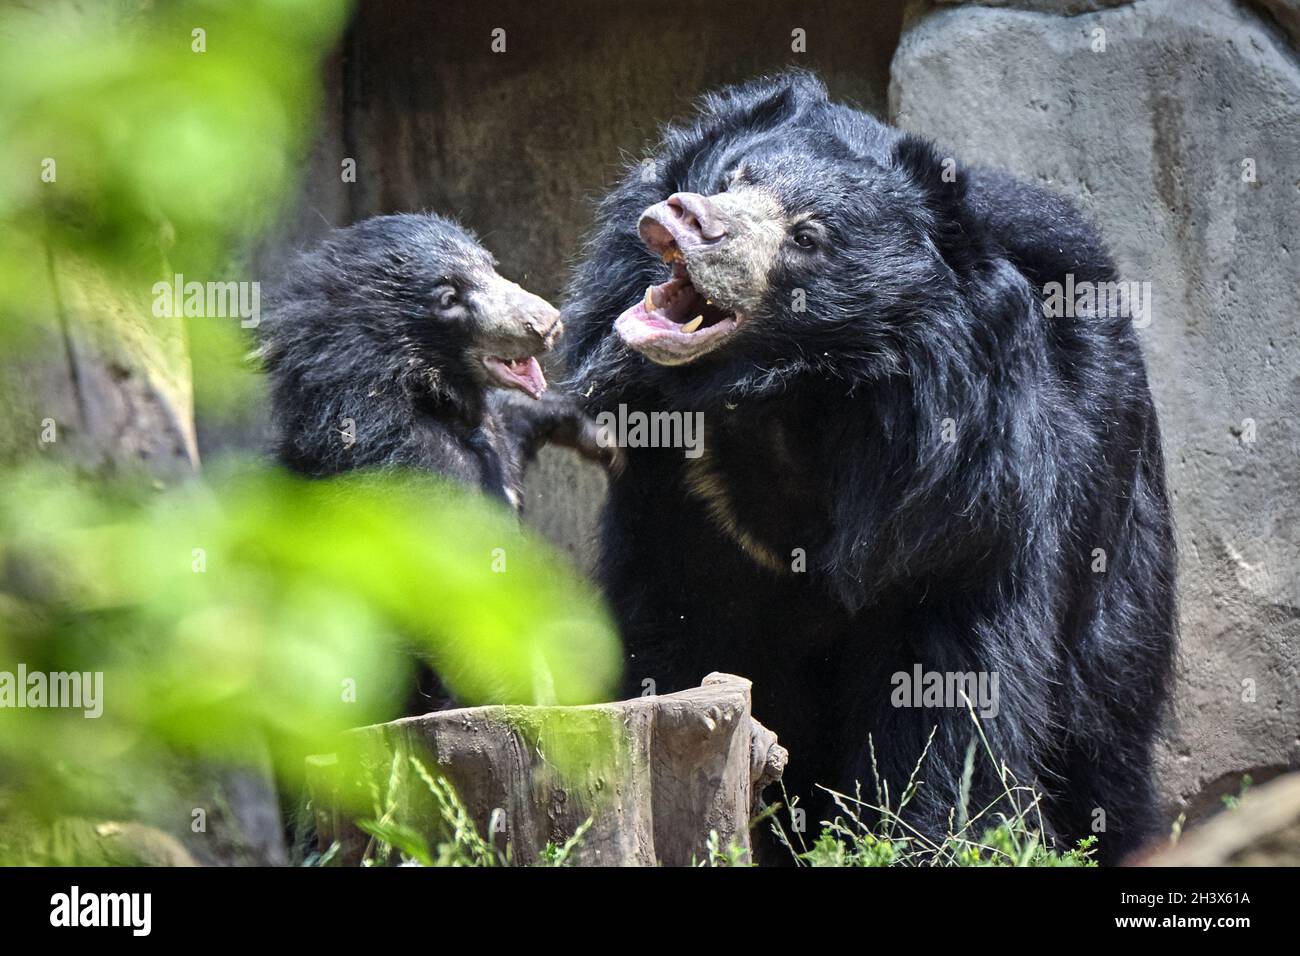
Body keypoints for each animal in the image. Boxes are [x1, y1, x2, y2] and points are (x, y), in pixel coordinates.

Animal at [564, 74, 1175, 863]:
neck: (786, 398)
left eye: (808, 237)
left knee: (1106, 716)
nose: (686, 217)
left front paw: (928, 834)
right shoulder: (679, 496)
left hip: (1118, 545)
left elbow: (949, 684)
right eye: (735, 178)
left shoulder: (965, 499)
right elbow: (669, 627)